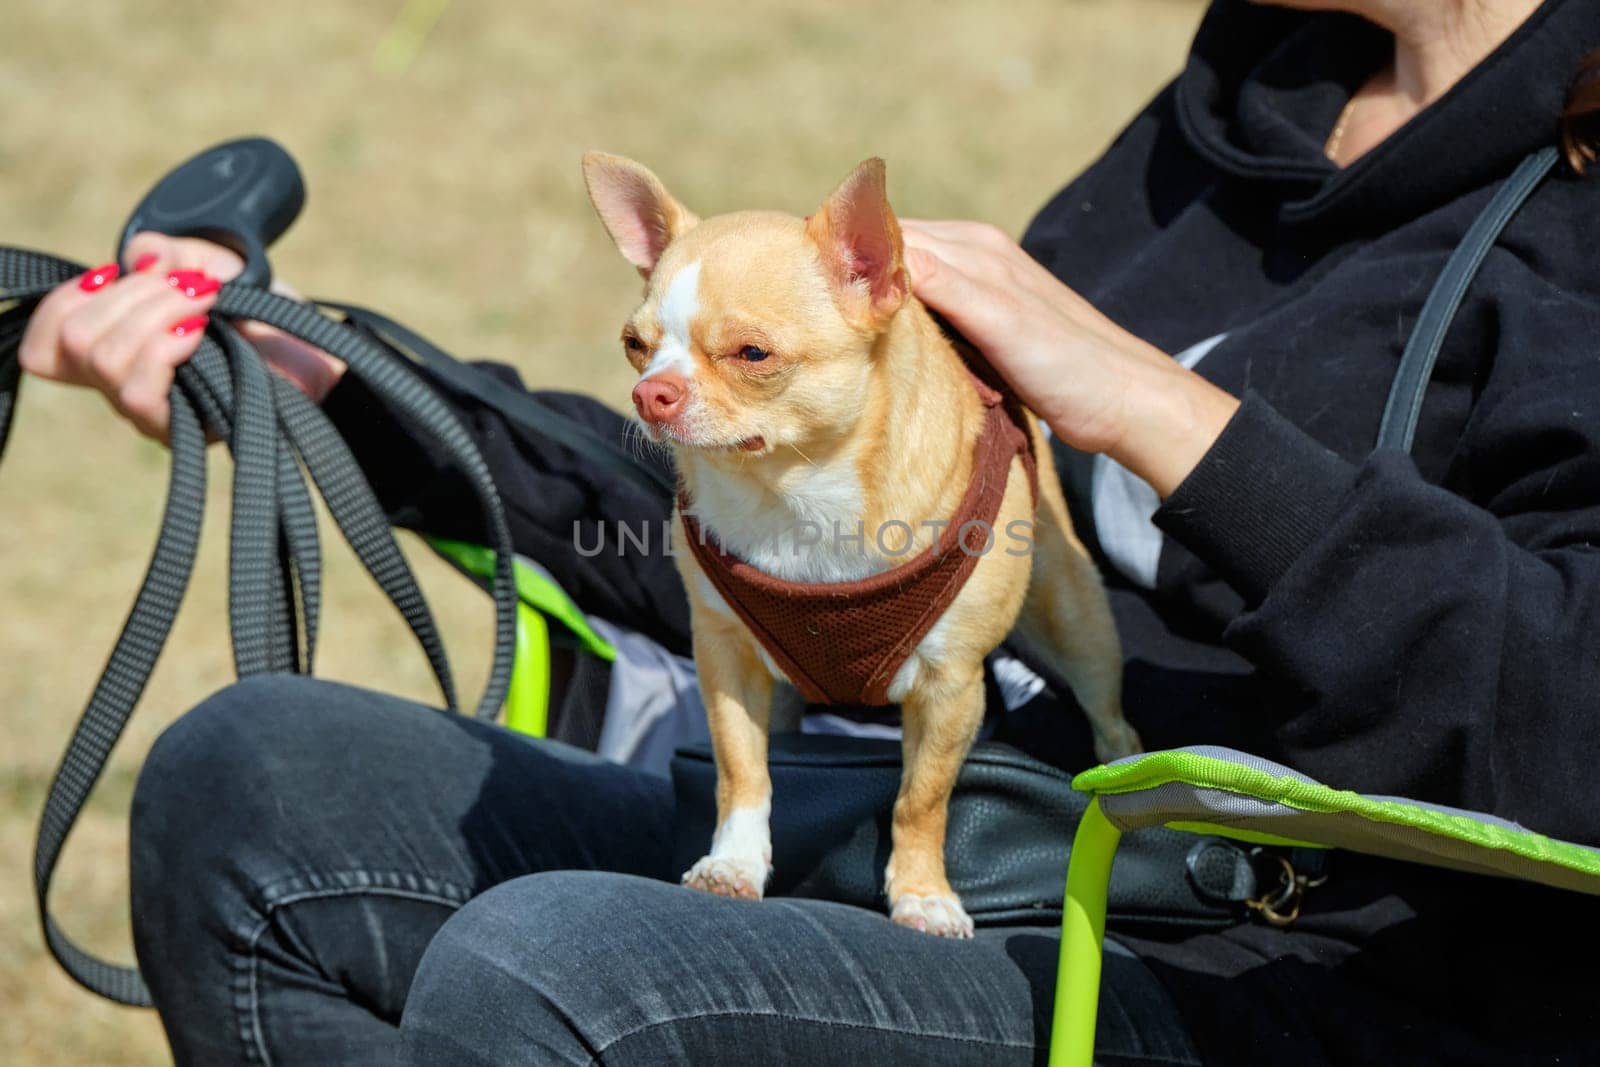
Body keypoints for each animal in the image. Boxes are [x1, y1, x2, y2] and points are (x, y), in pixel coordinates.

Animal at [582, 154, 1132, 940]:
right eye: (635, 346)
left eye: (753, 354)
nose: (650, 392)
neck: (796, 493)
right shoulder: (726, 659)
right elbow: (742, 770)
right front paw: (734, 864)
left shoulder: (952, 688)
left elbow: (921, 798)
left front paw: (924, 896)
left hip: (1076, 627)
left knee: (1110, 720)